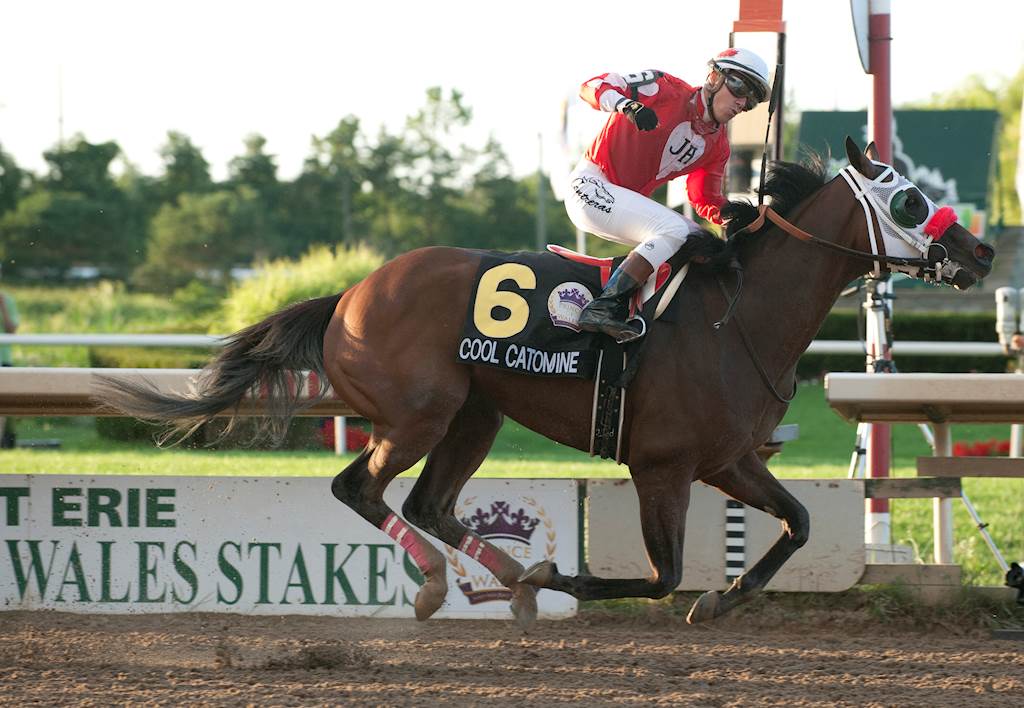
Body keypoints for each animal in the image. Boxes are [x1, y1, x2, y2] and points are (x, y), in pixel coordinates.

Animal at [96, 140, 991, 631]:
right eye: (911, 199)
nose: (980, 253)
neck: (735, 317)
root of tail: (349, 293)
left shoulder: (728, 460)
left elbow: (798, 523)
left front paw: (724, 600)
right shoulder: (662, 466)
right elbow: (663, 574)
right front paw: (557, 579)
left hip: (475, 416)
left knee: (428, 504)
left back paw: (493, 579)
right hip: (419, 415)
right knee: (361, 488)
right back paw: (444, 584)